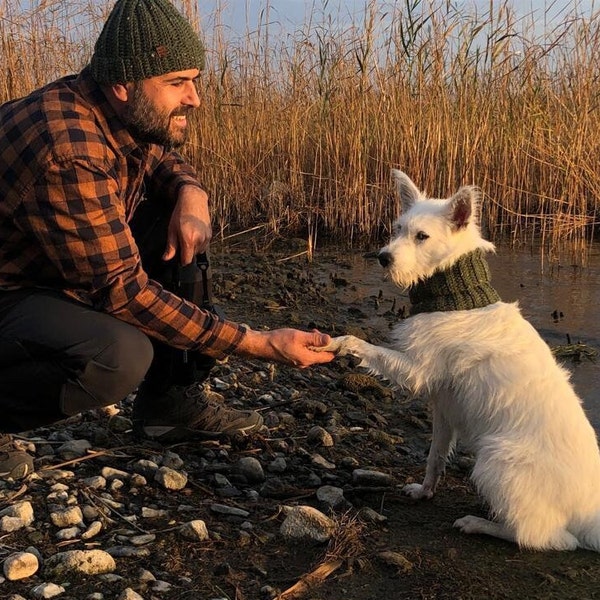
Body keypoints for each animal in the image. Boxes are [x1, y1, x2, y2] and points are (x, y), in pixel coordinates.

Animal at [324, 171, 600, 552]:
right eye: (398, 229)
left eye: (422, 236)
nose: (382, 257)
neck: (457, 297)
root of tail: (590, 514)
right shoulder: (444, 407)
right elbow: (435, 456)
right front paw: (424, 491)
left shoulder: (416, 371)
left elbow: (365, 346)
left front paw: (340, 343)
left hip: (494, 460)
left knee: (545, 538)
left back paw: (479, 523)